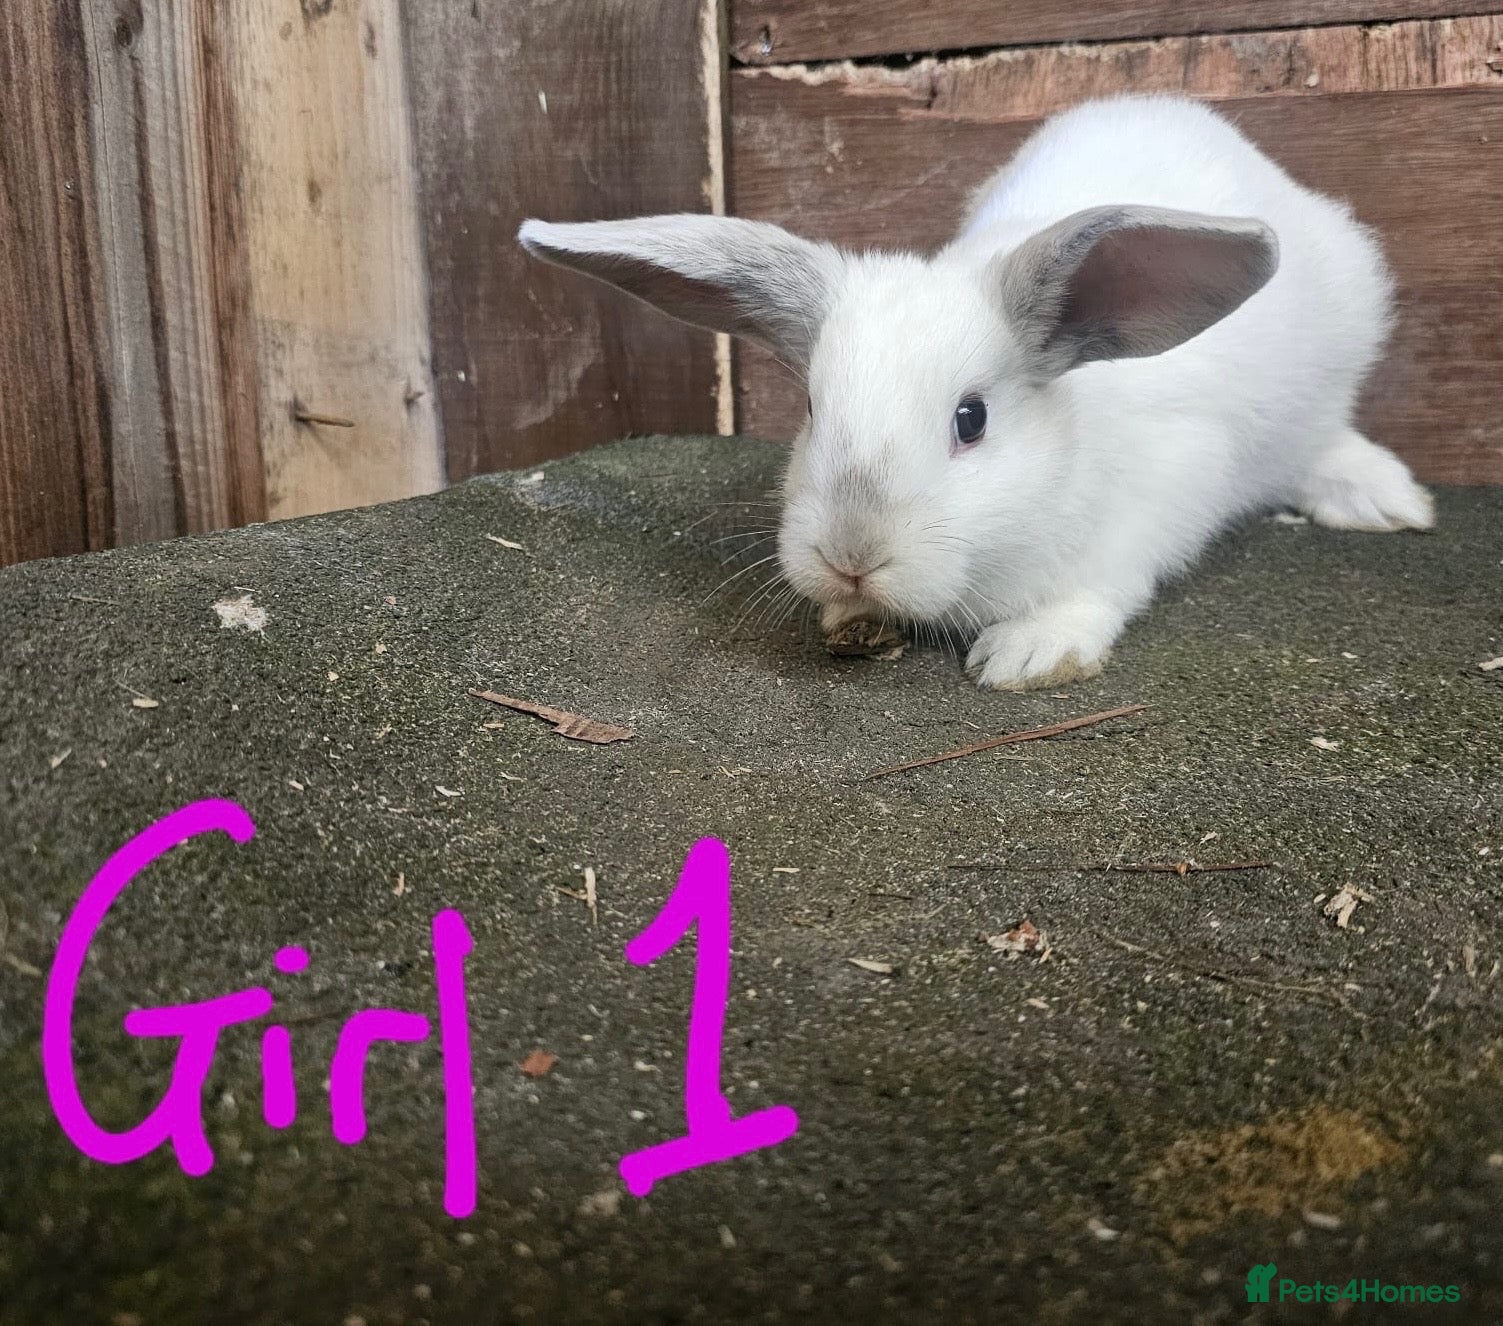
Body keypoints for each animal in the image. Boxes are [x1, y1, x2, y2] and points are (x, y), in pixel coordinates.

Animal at [518, 94, 1433, 691]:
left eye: (971, 420)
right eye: (811, 409)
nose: (850, 558)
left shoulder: (1163, 496)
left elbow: (1098, 588)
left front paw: (1027, 654)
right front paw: (845, 619)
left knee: (1321, 440)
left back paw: (1381, 501)